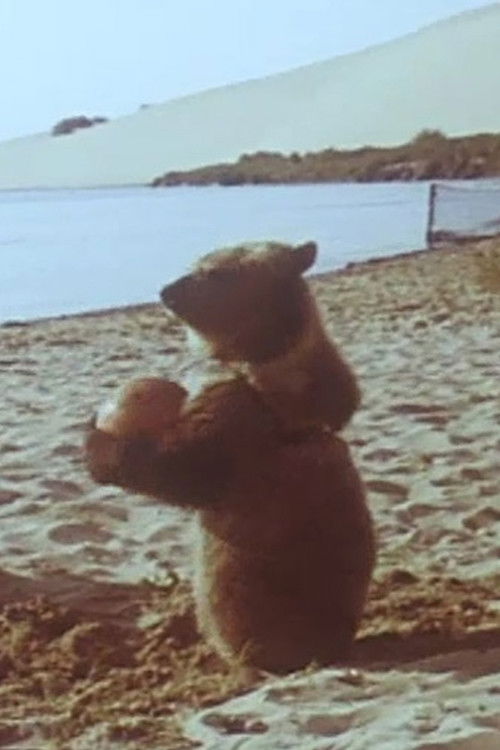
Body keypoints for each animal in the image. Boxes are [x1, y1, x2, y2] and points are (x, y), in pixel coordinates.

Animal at [85, 240, 375, 673]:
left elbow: (181, 471)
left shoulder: (232, 421)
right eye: (196, 262)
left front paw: (96, 442)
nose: (166, 291)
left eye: (215, 272)